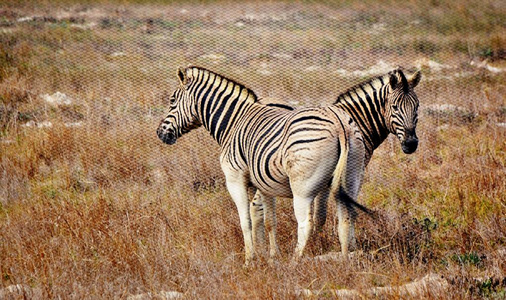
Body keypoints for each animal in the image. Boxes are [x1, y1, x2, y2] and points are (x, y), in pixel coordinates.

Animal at [156, 66, 366, 264]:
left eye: (172, 100)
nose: (159, 133)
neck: (233, 123)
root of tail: (338, 123)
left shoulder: (235, 180)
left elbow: (245, 221)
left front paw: (250, 260)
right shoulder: (265, 184)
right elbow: (269, 221)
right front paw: (273, 256)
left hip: (303, 187)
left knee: (306, 223)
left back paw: (294, 262)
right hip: (351, 177)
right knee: (346, 218)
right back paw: (345, 260)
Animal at [251, 68, 422, 255]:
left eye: (417, 107)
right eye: (395, 107)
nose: (411, 144)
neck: (357, 122)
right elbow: (325, 216)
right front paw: (320, 245)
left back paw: (259, 251)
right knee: (256, 206)